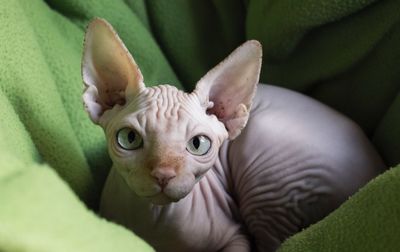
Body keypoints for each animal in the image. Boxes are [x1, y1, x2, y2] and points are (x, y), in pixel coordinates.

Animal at [81, 18, 384, 251]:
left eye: (198, 144)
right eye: (129, 139)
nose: (163, 175)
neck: (155, 221)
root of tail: (375, 170)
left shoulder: (235, 236)